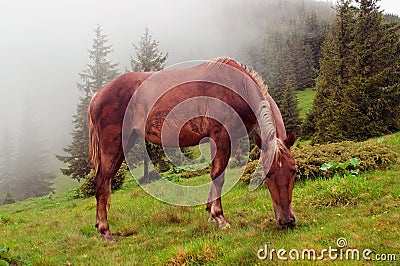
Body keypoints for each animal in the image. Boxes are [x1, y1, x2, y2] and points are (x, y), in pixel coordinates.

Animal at [88, 57, 296, 242]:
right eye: (267, 174)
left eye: (294, 171)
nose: (287, 221)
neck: (235, 85)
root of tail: (97, 95)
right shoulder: (220, 136)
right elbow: (218, 176)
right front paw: (220, 218)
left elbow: (215, 175)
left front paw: (211, 214)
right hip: (113, 145)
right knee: (102, 182)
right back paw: (106, 233)